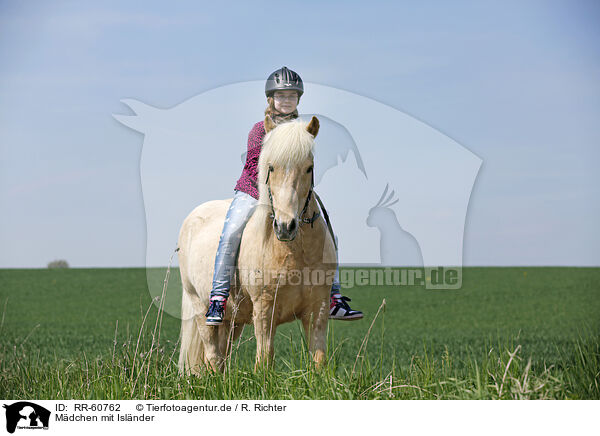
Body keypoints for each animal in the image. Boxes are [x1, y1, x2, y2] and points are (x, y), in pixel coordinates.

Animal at [178, 116, 338, 374]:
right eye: (270, 167)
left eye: (309, 168)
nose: (285, 227)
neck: (294, 253)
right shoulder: (264, 309)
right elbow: (264, 360)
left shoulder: (318, 309)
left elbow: (318, 359)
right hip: (200, 307)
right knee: (212, 355)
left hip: (232, 321)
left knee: (220, 357)